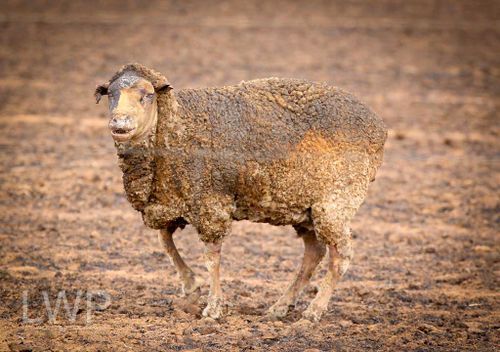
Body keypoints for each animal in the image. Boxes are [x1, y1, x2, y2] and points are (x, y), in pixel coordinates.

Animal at [95, 63, 388, 322]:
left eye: (147, 96)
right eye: (111, 94)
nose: (120, 123)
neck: (177, 126)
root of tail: (379, 128)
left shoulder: (210, 203)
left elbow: (211, 258)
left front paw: (213, 308)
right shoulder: (170, 201)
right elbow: (165, 242)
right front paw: (190, 287)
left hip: (336, 202)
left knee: (340, 256)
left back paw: (313, 312)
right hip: (305, 206)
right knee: (314, 252)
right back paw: (280, 307)